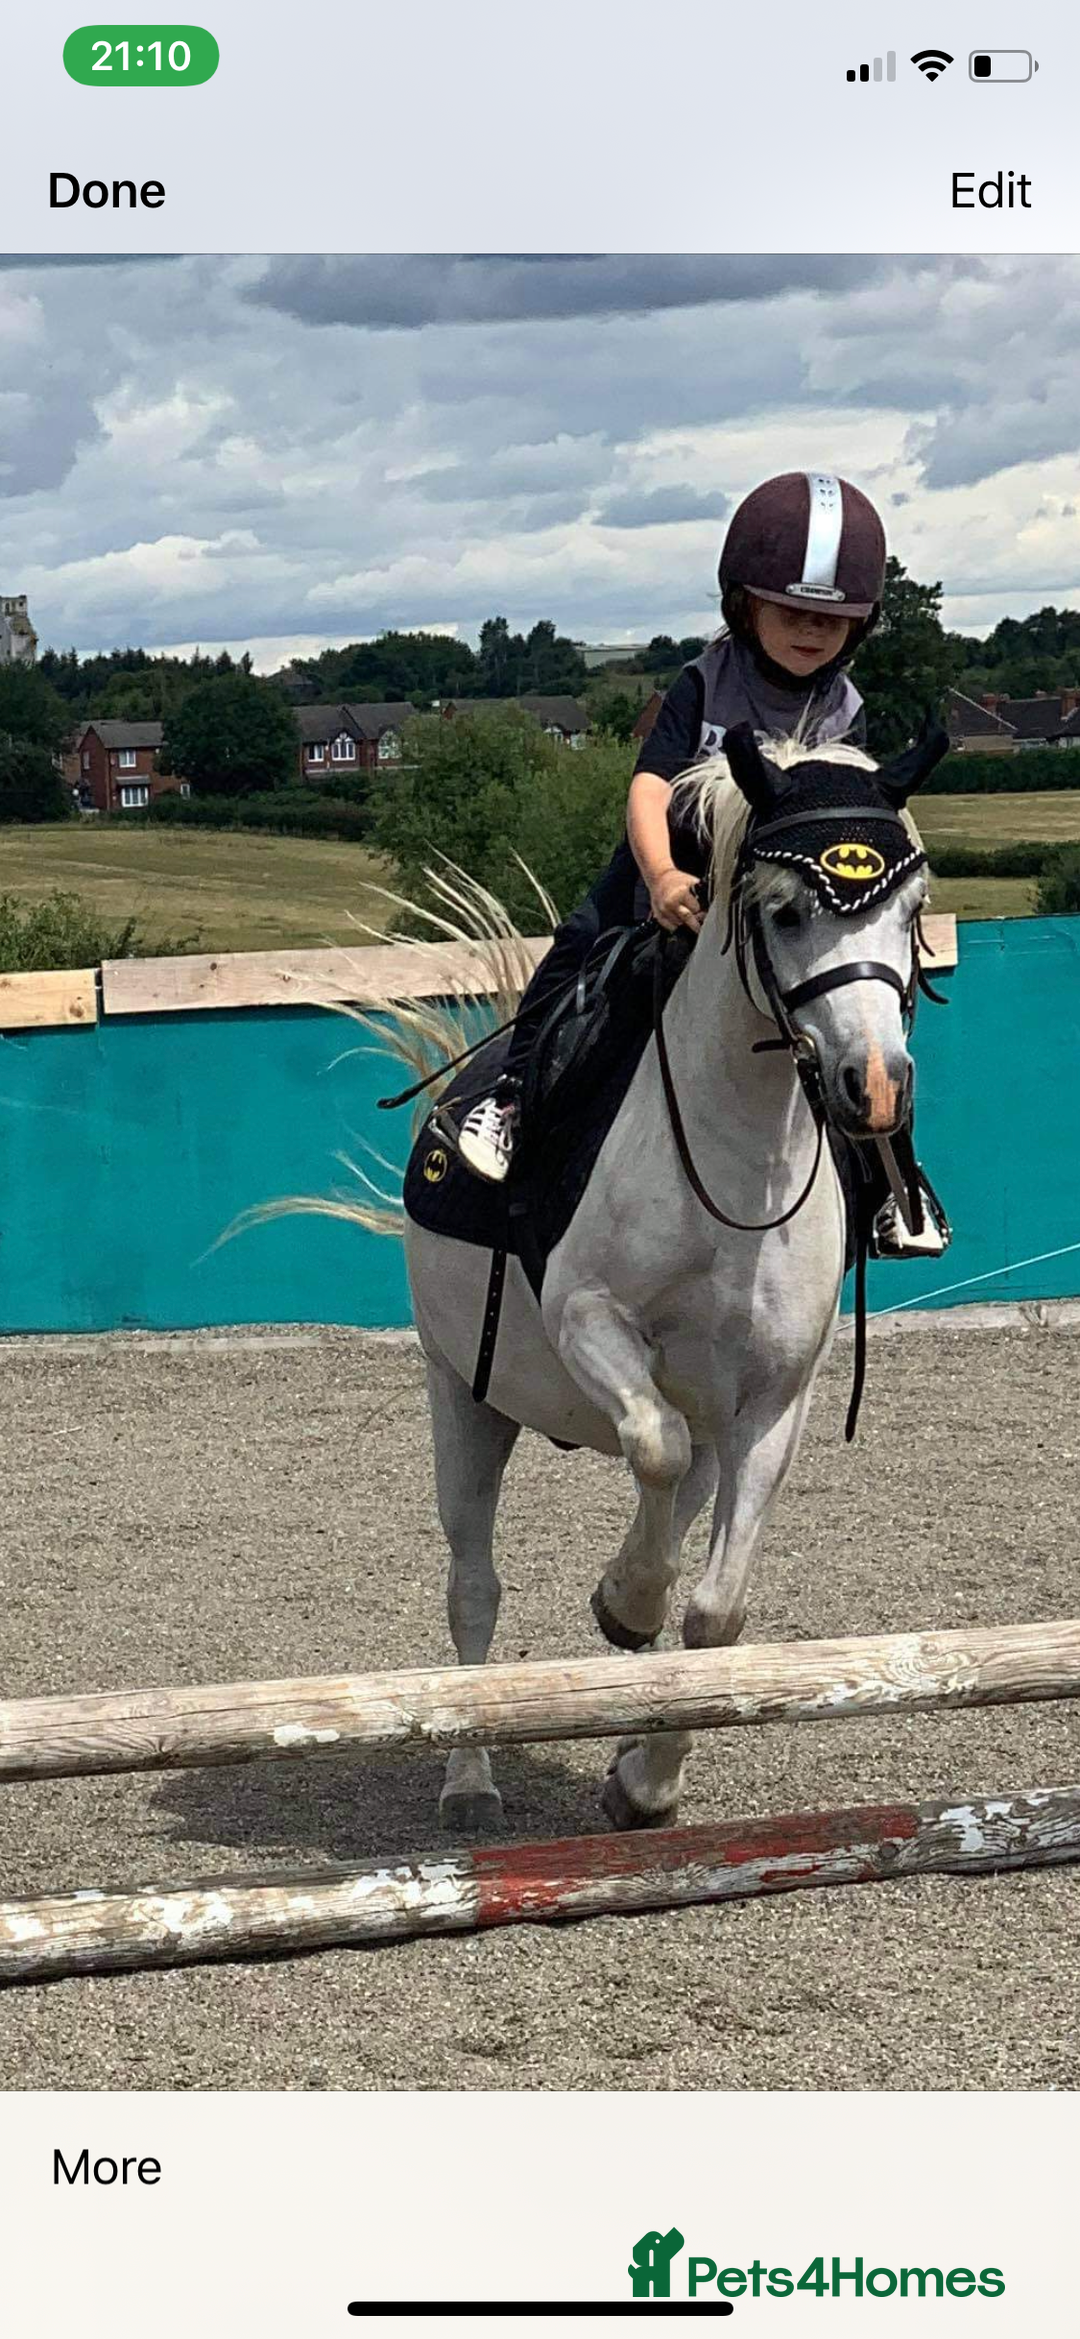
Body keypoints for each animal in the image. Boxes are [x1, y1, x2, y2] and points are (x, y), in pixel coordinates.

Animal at [352, 722, 946, 1833]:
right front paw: (622, 1602)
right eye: (785, 910)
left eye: (912, 911)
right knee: (473, 1585)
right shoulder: (588, 1317)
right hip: (463, 1398)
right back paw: (470, 1781)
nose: (876, 1087)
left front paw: (646, 1778)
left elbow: (713, 1612)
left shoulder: (772, 1401)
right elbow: (652, 1449)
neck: (733, 1150)